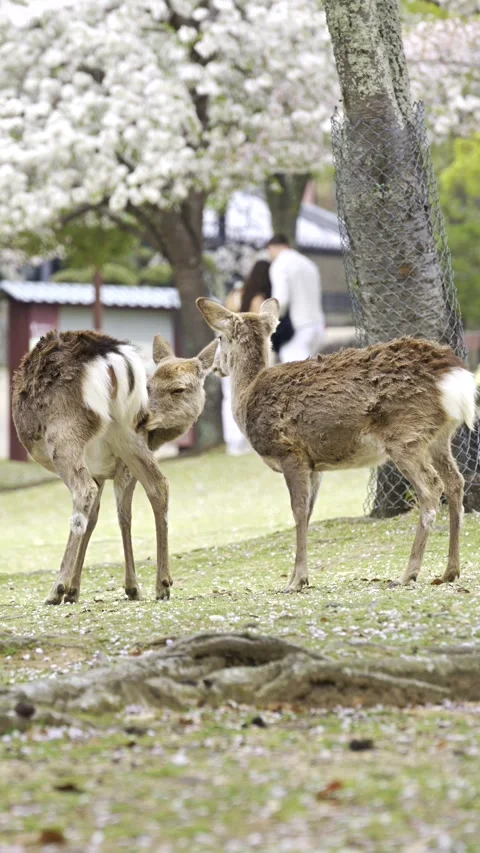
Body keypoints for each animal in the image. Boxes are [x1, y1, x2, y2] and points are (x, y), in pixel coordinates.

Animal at [12, 330, 217, 605]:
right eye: (149, 385)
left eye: (179, 389)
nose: (149, 415)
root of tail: (113, 358)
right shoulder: (106, 471)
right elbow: (102, 517)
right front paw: (78, 590)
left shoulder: (113, 470)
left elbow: (111, 514)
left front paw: (74, 589)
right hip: (128, 434)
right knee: (159, 484)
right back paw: (162, 584)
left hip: (66, 433)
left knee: (83, 491)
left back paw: (56, 589)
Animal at [197, 296, 476, 592]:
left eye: (219, 337)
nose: (215, 366)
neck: (246, 398)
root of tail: (455, 376)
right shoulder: (314, 465)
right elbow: (309, 512)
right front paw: (299, 577)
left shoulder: (290, 452)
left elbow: (298, 511)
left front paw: (296, 581)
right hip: (438, 437)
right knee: (455, 481)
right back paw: (449, 571)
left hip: (405, 434)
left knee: (431, 487)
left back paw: (407, 574)